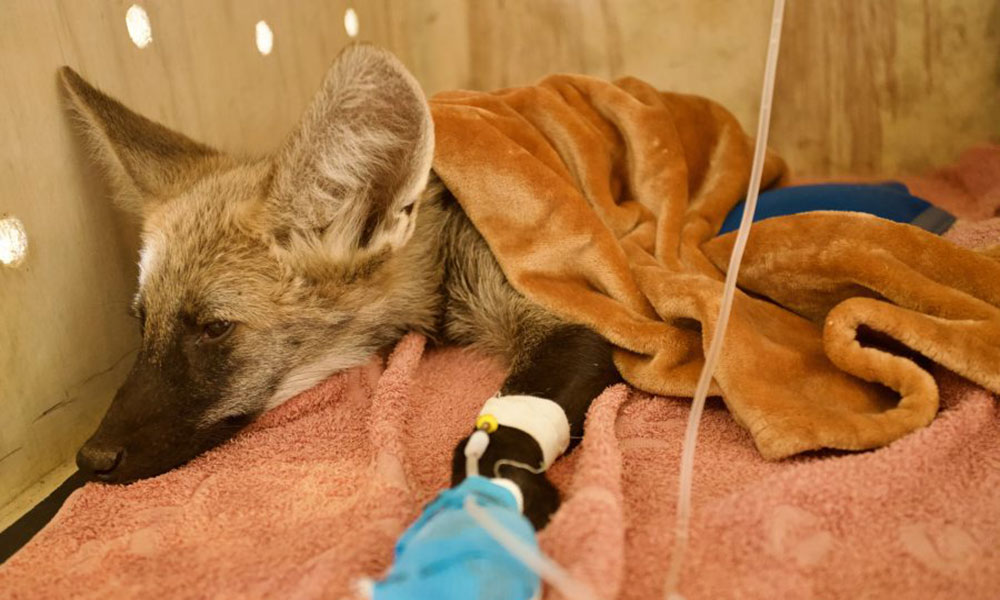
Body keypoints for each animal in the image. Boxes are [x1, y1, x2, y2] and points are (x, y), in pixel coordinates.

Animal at [64, 44, 619, 529]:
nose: (90, 457)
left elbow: (501, 430)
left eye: (214, 327)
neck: (445, 261)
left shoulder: (568, 312)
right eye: (141, 322)